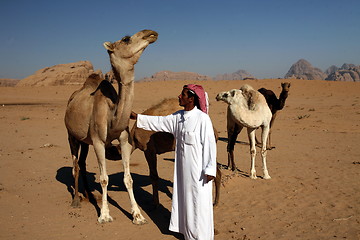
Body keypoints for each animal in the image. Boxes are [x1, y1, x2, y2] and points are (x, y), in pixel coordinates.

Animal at [64, 29, 158, 224]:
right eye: (126, 39)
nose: (150, 33)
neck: (112, 117)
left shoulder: (124, 140)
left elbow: (128, 179)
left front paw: (138, 215)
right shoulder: (99, 141)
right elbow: (104, 179)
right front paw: (105, 215)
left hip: (85, 141)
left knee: (82, 163)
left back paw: (89, 195)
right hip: (71, 135)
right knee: (75, 165)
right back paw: (76, 200)